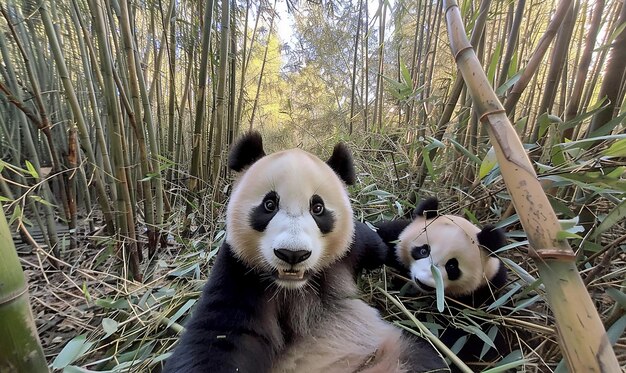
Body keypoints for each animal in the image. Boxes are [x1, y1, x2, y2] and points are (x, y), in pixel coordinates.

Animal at [161, 133, 446, 372]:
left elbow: (386, 245)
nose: (292, 254)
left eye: (317, 208)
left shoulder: (352, 248)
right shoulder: (240, 271)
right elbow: (219, 334)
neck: (296, 286)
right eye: (269, 204)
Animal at [370, 196, 508, 364]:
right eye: (423, 250)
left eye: (452, 266)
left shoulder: (484, 297)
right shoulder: (395, 237)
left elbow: (469, 336)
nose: (424, 282)